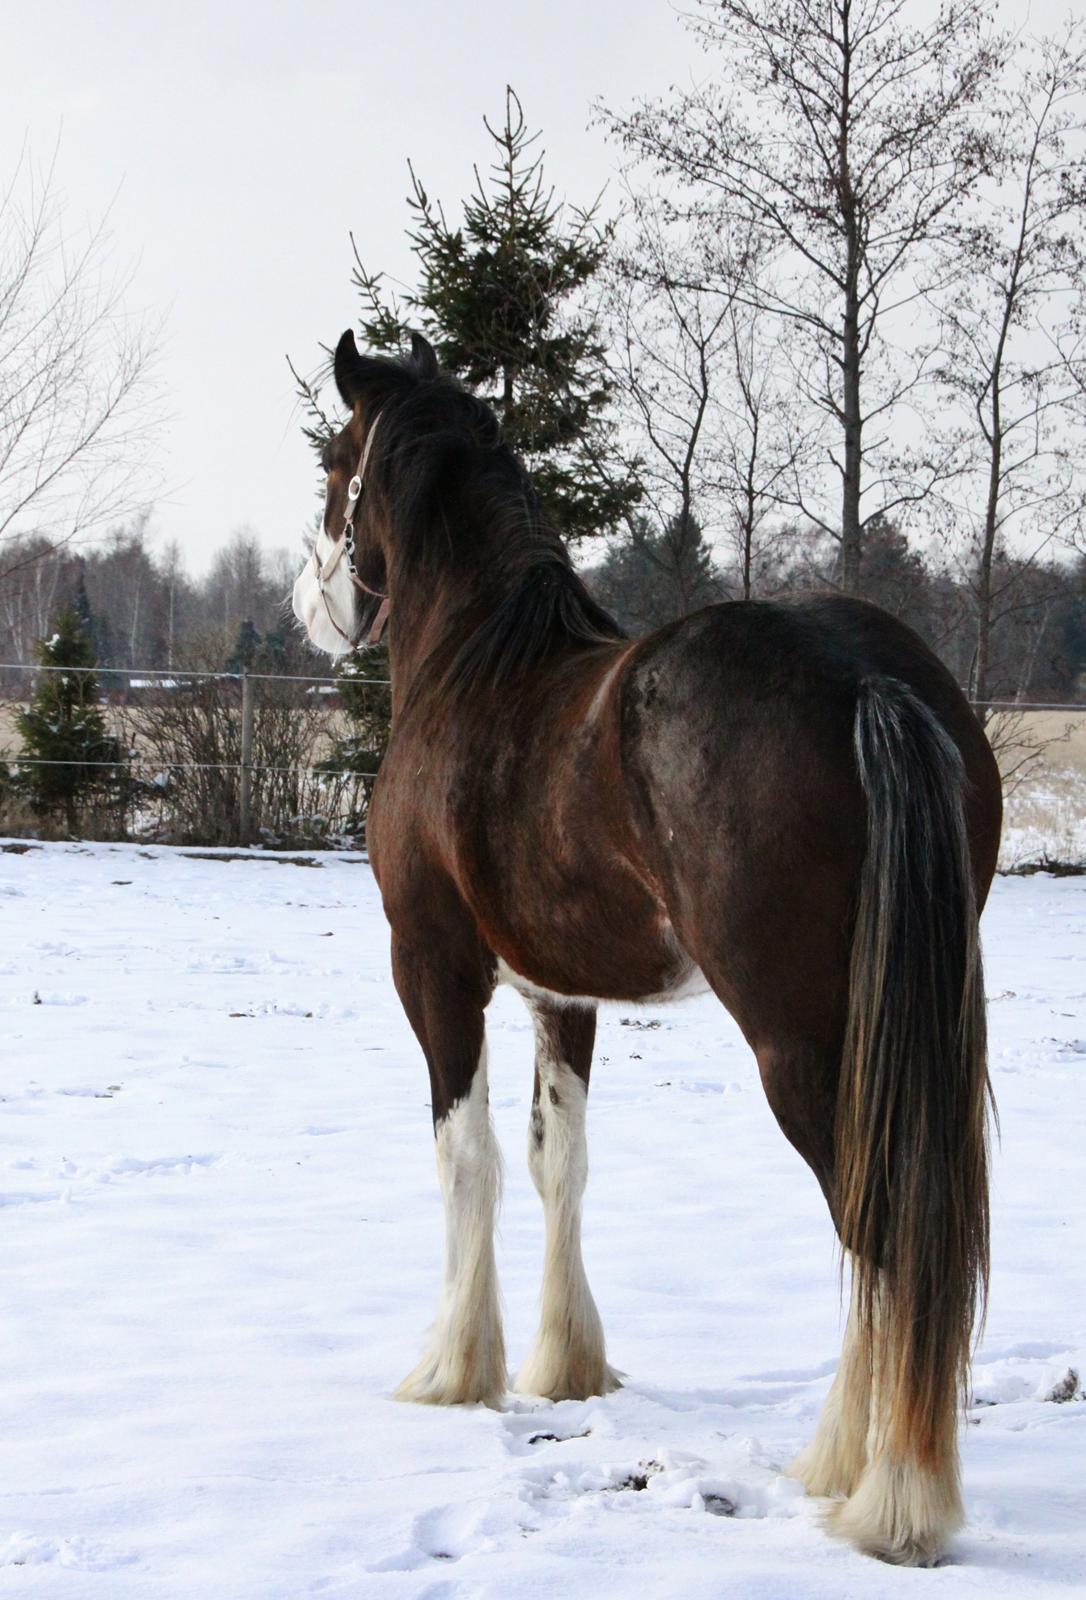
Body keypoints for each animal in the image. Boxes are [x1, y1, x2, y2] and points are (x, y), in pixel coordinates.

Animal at [291, 331, 1004, 1568]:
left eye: (340, 460)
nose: (311, 605)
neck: (479, 663)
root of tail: (865, 676)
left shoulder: (434, 966)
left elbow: (466, 1156)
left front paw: (453, 1368)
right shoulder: (561, 991)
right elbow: (558, 1161)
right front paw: (566, 1363)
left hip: (805, 1048)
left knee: (880, 1230)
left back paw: (883, 1492)